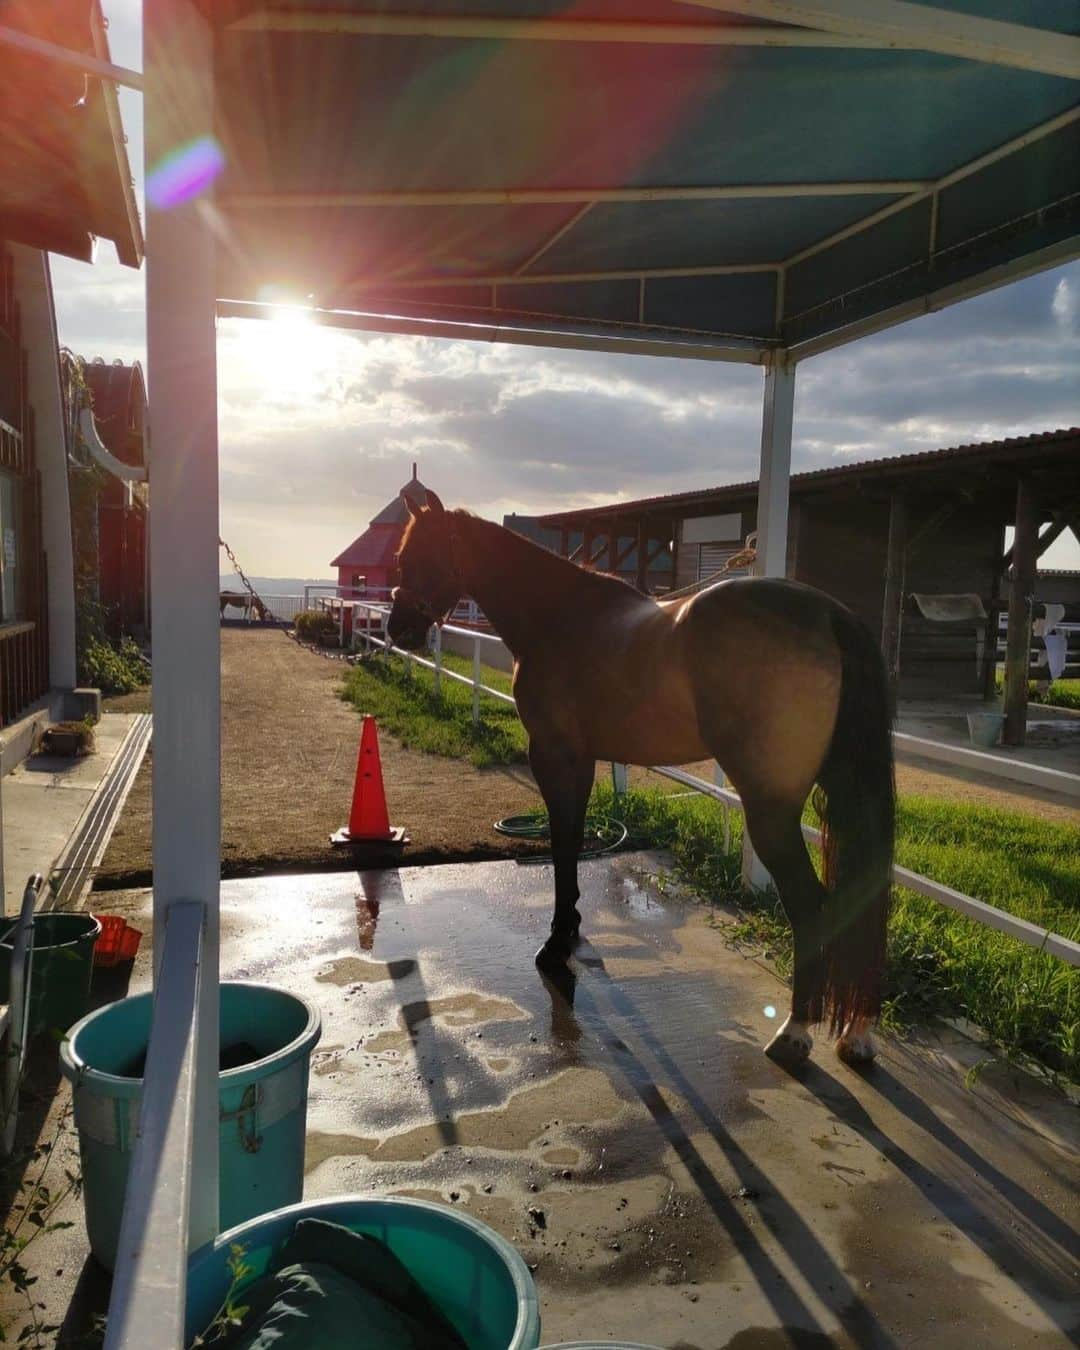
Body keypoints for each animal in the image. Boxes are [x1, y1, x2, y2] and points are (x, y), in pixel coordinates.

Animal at [388, 491, 896, 1069]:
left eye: (416, 558)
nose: (397, 628)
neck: (558, 617)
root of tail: (830, 615)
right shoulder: (584, 760)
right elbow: (572, 842)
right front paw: (570, 929)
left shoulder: (554, 755)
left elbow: (562, 843)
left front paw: (556, 945)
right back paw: (857, 1032)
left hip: (771, 808)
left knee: (812, 907)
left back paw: (795, 1031)